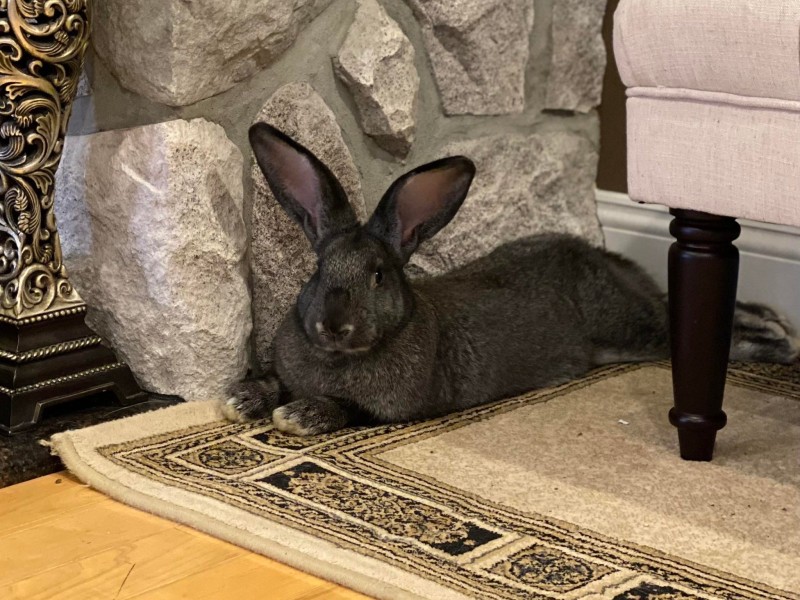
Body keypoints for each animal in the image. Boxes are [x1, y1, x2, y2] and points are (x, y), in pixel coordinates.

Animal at [223, 123, 799, 436]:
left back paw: (780, 341)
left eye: (378, 276)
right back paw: (775, 321)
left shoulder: (389, 408)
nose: (332, 326)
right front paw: (240, 400)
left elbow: (343, 408)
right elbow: (272, 381)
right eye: (318, 271)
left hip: (634, 331)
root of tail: (601, 258)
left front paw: (296, 416)